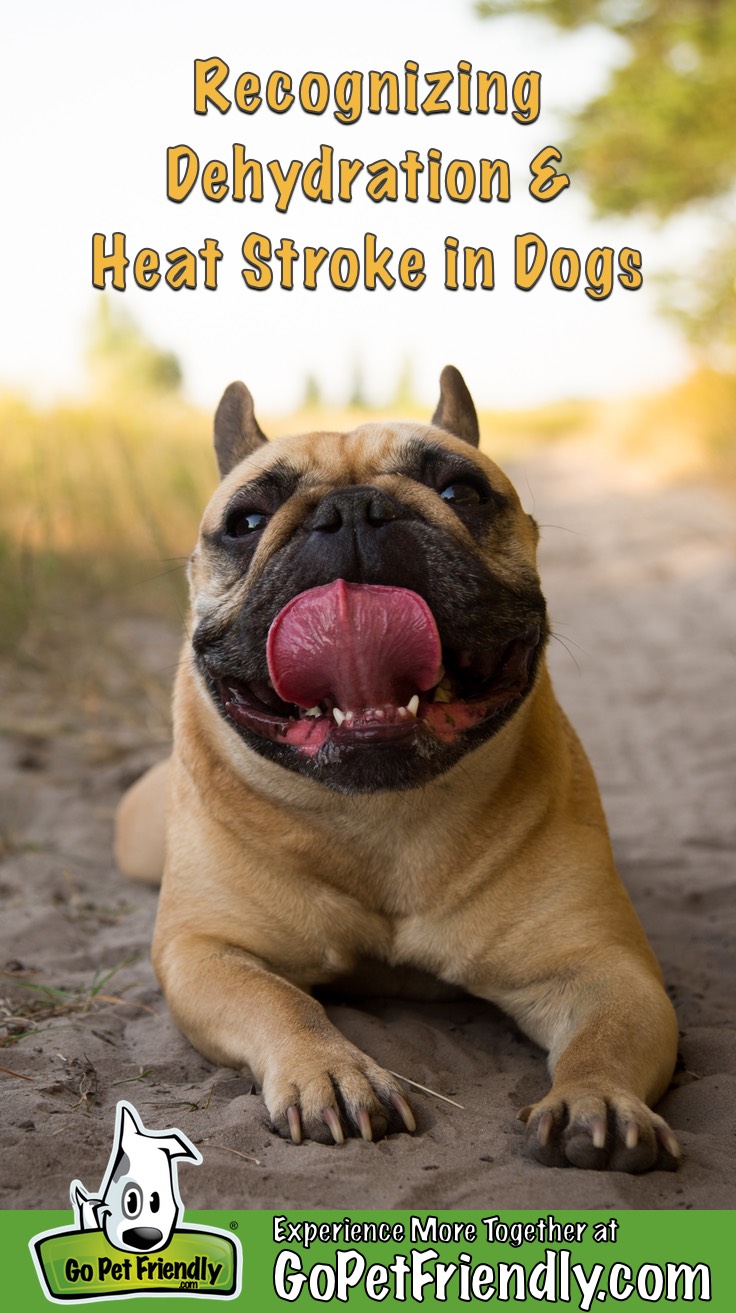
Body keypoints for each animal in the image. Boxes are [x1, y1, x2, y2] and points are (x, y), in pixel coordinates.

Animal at [114, 367, 676, 1171]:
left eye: (461, 492)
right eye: (246, 521)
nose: (352, 509)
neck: (379, 810)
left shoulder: (605, 968)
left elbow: (606, 1035)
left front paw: (596, 1097)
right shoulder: (206, 953)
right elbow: (281, 1000)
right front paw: (331, 1072)